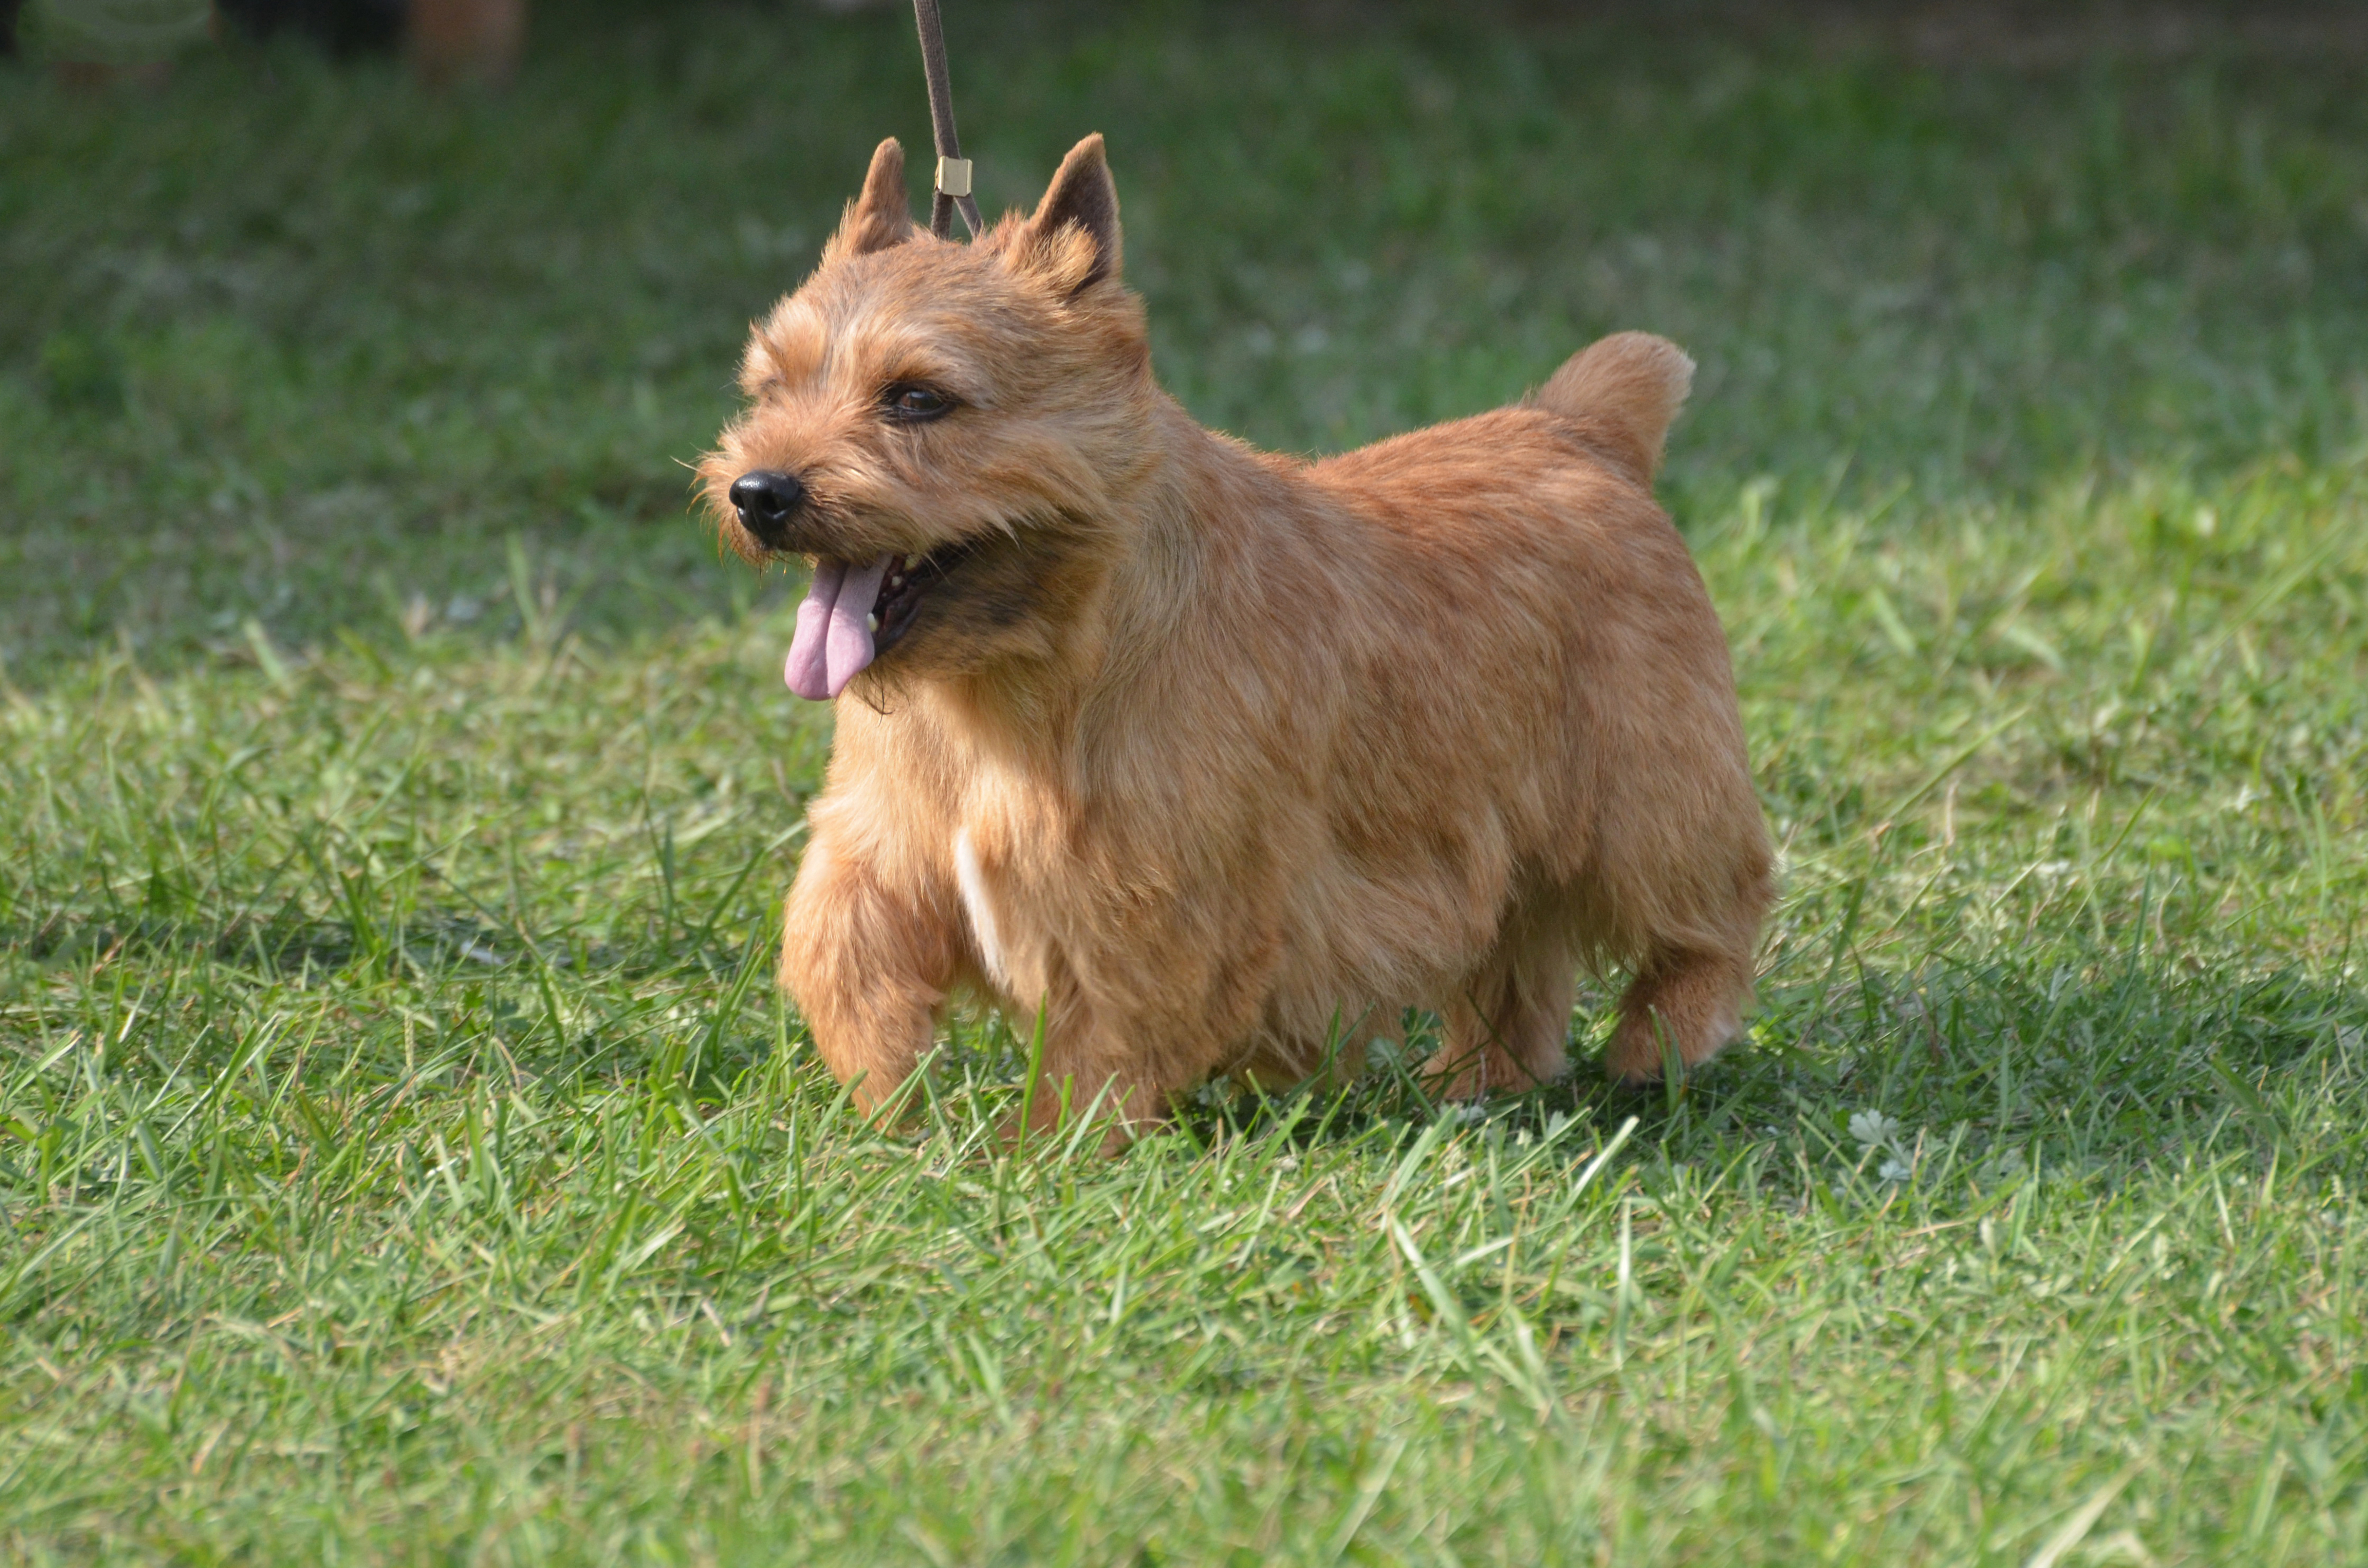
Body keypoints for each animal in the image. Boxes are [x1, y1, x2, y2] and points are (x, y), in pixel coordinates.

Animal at [691, 135, 1771, 1137]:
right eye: (771, 387)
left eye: (917, 397)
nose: (758, 492)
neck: (1007, 677)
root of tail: (1579, 429)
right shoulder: (882, 843)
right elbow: (839, 952)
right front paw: (892, 1103)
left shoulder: (1138, 893)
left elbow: (1100, 1032)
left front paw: (1044, 1155)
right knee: (1519, 968)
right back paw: (1478, 1084)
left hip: (1647, 796)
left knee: (1717, 905)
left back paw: (1659, 1041)